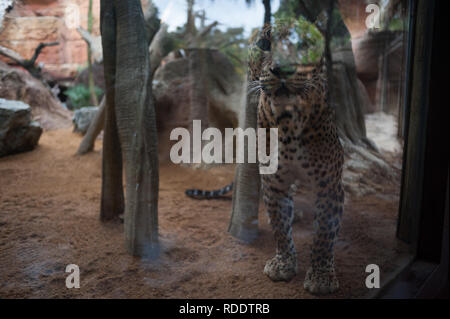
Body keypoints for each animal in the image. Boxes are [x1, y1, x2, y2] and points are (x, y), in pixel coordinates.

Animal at [186, 21, 344, 296]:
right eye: (264, 44)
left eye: (304, 44)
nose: (281, 68)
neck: (289, 123)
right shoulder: (274, 183)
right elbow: (280, 226)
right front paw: (283, 263)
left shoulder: (329, 185)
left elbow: (324, 232)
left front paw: (321, 275)